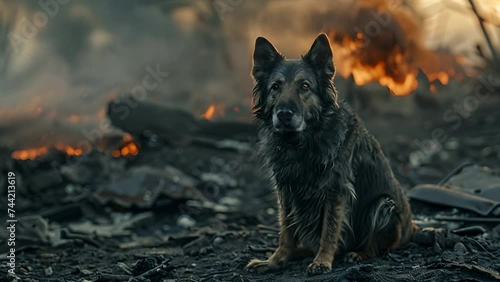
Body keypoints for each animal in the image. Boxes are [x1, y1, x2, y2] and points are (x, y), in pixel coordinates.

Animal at [246, 33, 418, 276]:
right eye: (275, 87)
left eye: (305, 86)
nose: (284, 115)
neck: (303, 141)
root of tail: (412, 228)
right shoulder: (286, 190)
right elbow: (286, 231)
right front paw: (276, 261)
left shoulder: (335, 191)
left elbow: (329, 230)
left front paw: (322, 261)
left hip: (384, 205)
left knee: (376, 245)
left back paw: (358, 254)